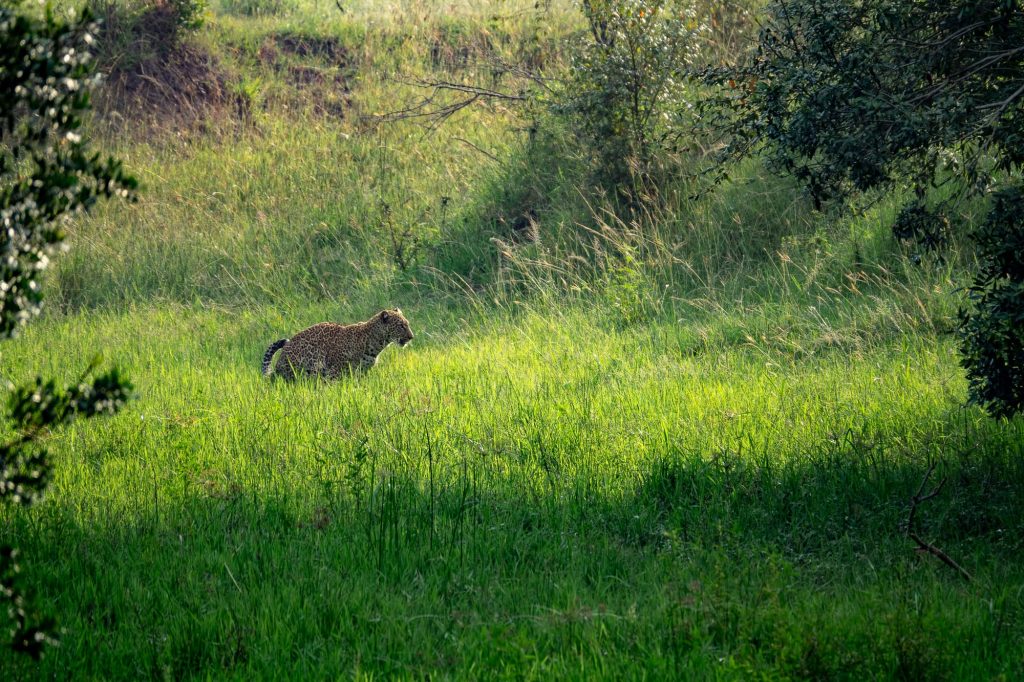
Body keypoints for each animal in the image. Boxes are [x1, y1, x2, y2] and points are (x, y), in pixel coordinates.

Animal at [262, 307, 413, 378]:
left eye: (407, 324)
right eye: (401, 326)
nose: (412, 337)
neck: (376, 344)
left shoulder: (362, 372)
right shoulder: (335, 371)